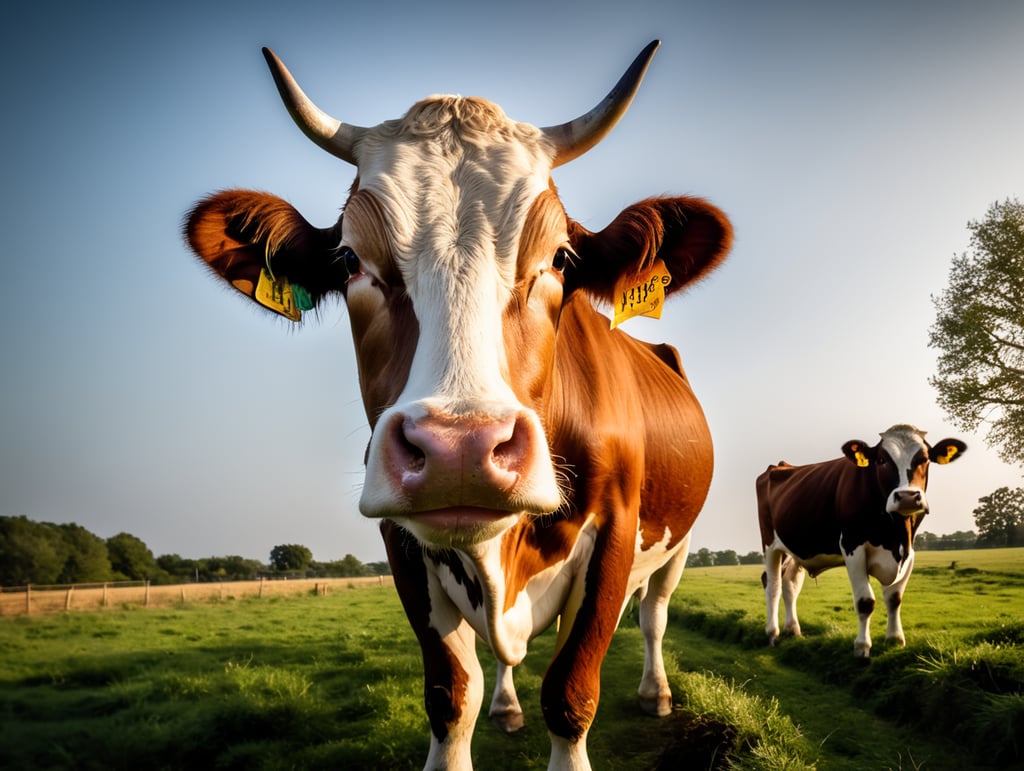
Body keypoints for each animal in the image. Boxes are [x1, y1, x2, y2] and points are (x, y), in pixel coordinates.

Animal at [184, 41, 733, 770]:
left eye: (561, 258)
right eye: (350, 260)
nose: (459, 450)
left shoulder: (617, 531)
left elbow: (572, 692)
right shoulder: (403, 546)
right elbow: (451, 696)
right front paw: (485, 707)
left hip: (677, 544)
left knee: (654, 615)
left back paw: (655, 693)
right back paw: (507, 704)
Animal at [756, 424, 966, 658]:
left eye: (924, 459)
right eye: (882, 460)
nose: (907, 497)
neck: (895, 534)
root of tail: (781, 466)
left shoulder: (910, 551)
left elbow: (894, 598)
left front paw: (895, 639)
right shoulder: (852, 547)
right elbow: (865, 601)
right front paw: (862, 648)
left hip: (797, 548)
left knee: (790, 584)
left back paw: (793, 630)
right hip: (770, 544)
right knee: (772, 585)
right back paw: (772, 634)